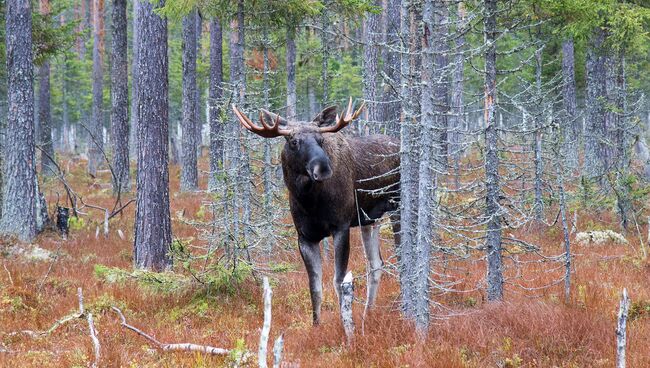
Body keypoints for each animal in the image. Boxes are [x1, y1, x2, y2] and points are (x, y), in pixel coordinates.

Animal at [230, 98, 398, 324]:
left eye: (321, 140)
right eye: (293, 142)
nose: (323, 168)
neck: (310, 202)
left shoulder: (341, 226)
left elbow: (338, 281)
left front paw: (344, 323)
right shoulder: (304, 237)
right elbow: (315, 288)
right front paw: (316, 325)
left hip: (397, 206)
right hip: (370, 220)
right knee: (376, 264)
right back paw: (368, 313)